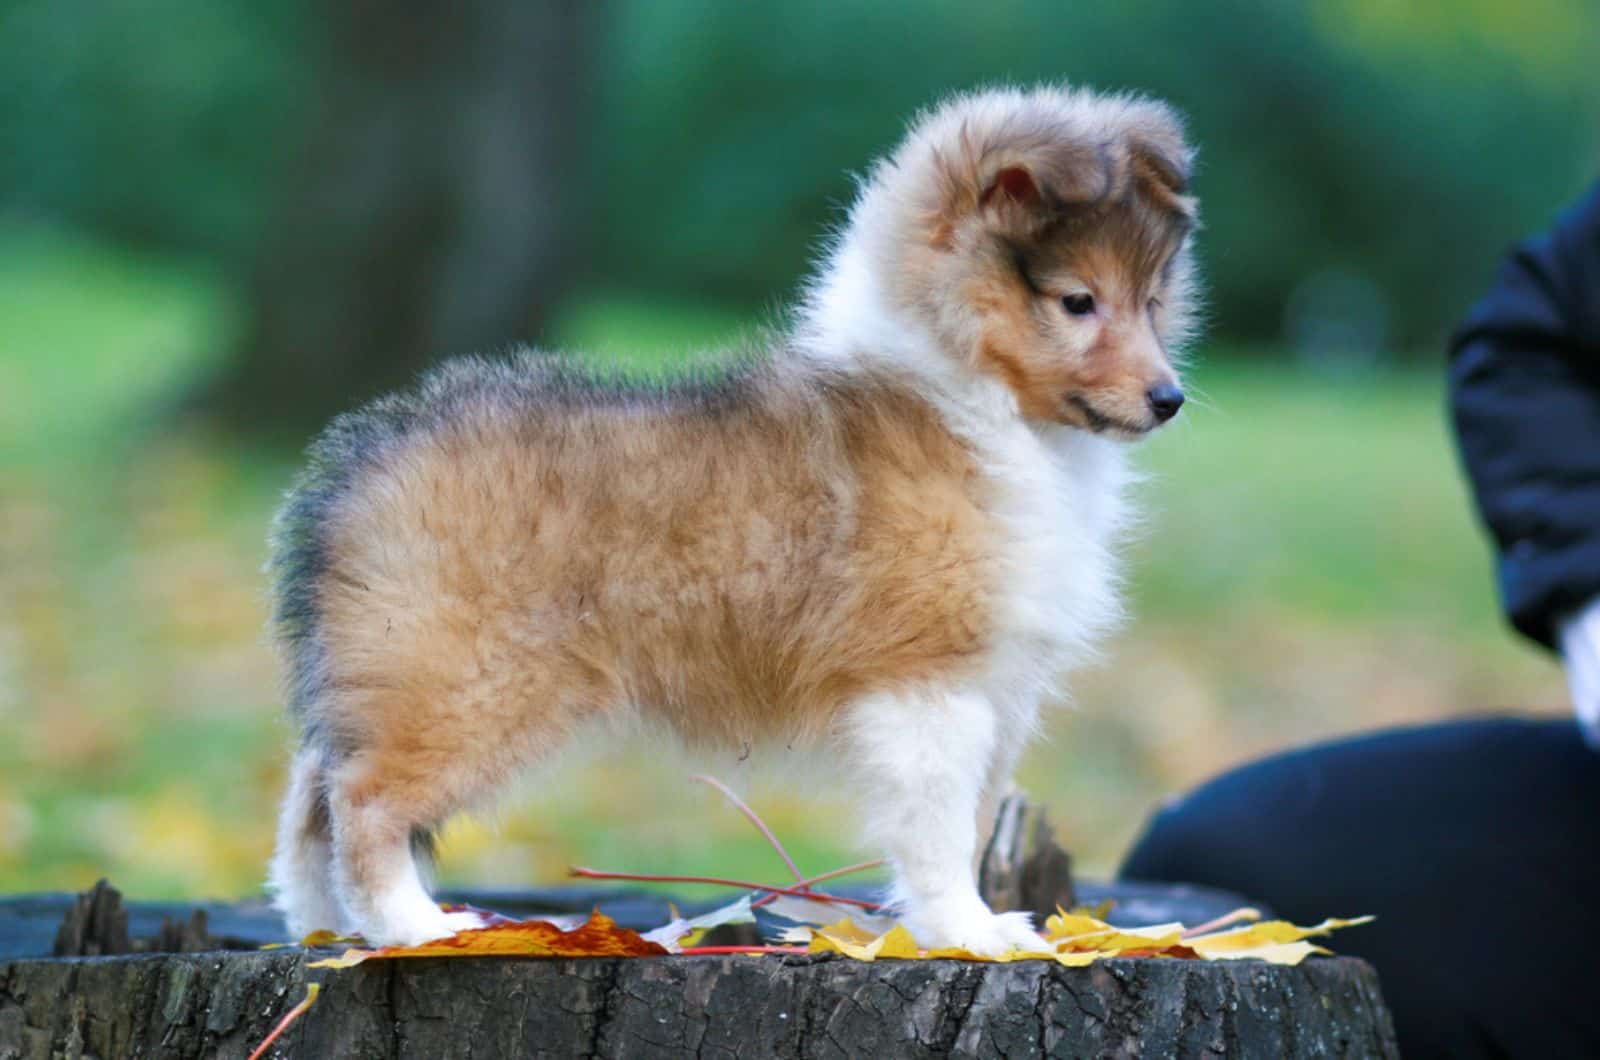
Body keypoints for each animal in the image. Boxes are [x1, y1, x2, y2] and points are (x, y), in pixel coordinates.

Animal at [268, 85, 1203, 954]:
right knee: (363, 800)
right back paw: (413, 926)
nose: (1170, 400)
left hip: (394, 675)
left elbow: (970, 821)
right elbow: (938, 830)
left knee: (312, 795)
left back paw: (323, 929)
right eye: (1077, 301)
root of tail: (355, 469)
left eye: (1153, 300)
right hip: (471, 685)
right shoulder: (927, 679)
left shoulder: (993, 687)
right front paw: (970, 933)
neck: (974, 398)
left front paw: (960, 927)